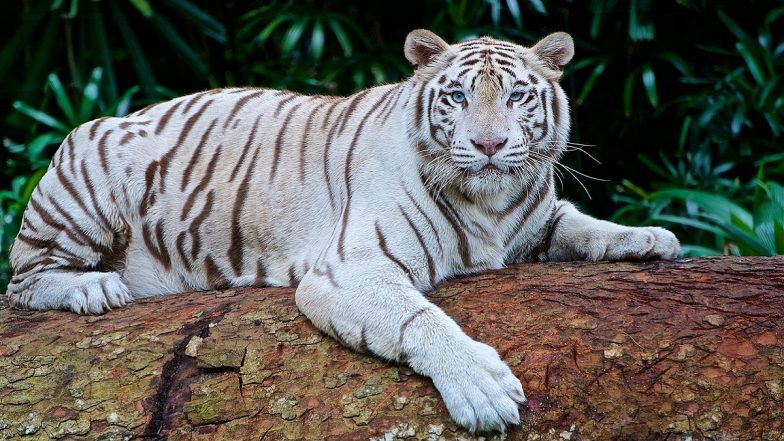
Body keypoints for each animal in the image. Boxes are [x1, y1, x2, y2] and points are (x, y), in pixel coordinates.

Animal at [6, 29, 679, 432]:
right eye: (458, 97)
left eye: (517, 96)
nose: (490, 144)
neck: (492, 204)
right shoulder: (352, 269)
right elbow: (419, 320)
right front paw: (482, 388)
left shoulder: (536, 220)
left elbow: (581, 223)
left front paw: (650, 237)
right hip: (87, 170)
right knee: (23, 279)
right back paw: (93, 288)